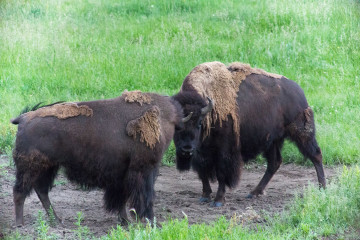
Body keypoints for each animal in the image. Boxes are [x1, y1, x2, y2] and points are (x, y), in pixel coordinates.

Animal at [11, 90, 183, 225]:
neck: (164, 117)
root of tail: (23, 117)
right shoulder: (145, 169)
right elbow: (146, 197)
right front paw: (150, 222)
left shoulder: (121, 176)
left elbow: (122, 199)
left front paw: (125, 221)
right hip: (31, 168)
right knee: (20, 192)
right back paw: (20, 223)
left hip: (48, 167)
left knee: (40, 191)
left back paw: (57, 221)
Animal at [172, 62, 326, 206]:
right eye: (176, 127)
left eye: (199, 123)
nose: (186, 148)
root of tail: (300, 93)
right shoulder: (200, 153)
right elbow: (202, 172)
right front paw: (205, 196)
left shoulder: (225, 151)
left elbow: (222, 174)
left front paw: (218, 200)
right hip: (273, 141)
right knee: (274, 163)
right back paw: (254, 192)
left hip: (302, 133)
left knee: (316, 155)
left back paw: (322, 188)